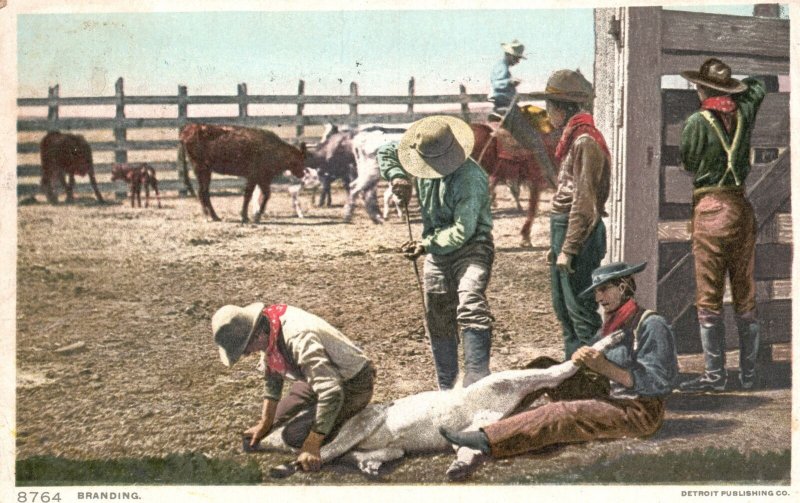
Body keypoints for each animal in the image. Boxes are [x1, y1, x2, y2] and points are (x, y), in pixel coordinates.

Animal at [178, 124, 306, 222]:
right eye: (298, 160)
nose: (303, 173)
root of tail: (188, 129)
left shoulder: (262, 179)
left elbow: (266, 194)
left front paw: (256, 216)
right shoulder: (253, 177)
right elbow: (248, 195)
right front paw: (247, 217)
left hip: (206, 171)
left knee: (205, 192)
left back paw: (215, 217)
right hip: (201, 169)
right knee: (201, 192)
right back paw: (207, 216)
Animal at [260, 328, 620, 478]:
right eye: (591, 379)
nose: (609, 392)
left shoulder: (473, 429)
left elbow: (467, 449)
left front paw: (458, 467)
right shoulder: (523, 380)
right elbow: (562, 368)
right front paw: (609, 340)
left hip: (391, 447)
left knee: (354, 456)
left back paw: (370, 467)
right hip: (364, 423)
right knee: (327, 453)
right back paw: (286, 467)